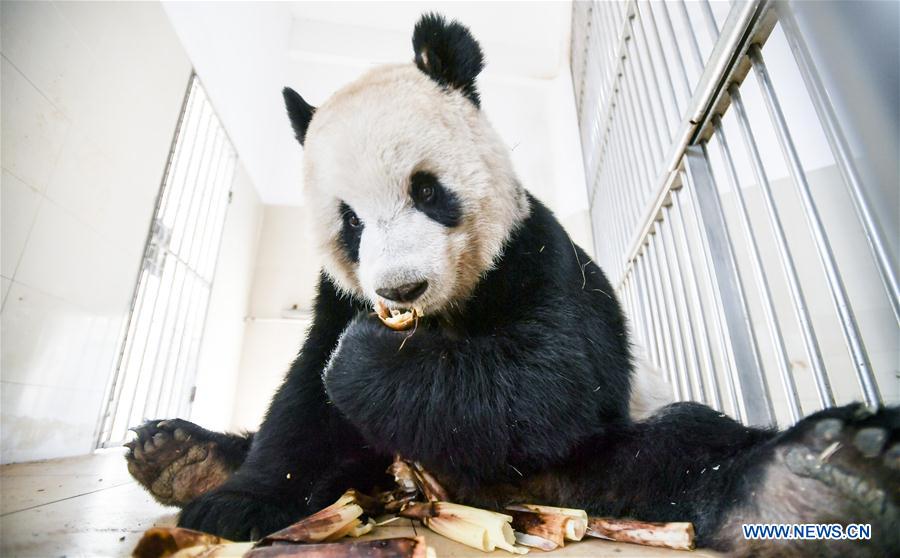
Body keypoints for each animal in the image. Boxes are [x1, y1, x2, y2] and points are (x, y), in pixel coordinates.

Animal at [127, 14, 899, 556]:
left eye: (427, 190)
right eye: (349, 221)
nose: (401, 289)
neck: (439, 317)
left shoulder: (539, 255)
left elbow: (548, 384)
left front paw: (367, 361)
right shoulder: (337, 295)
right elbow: (302, 407)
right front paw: (233, 502)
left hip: (593, 462)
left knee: (677, 453)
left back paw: (814, 487)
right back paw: (181, 455)